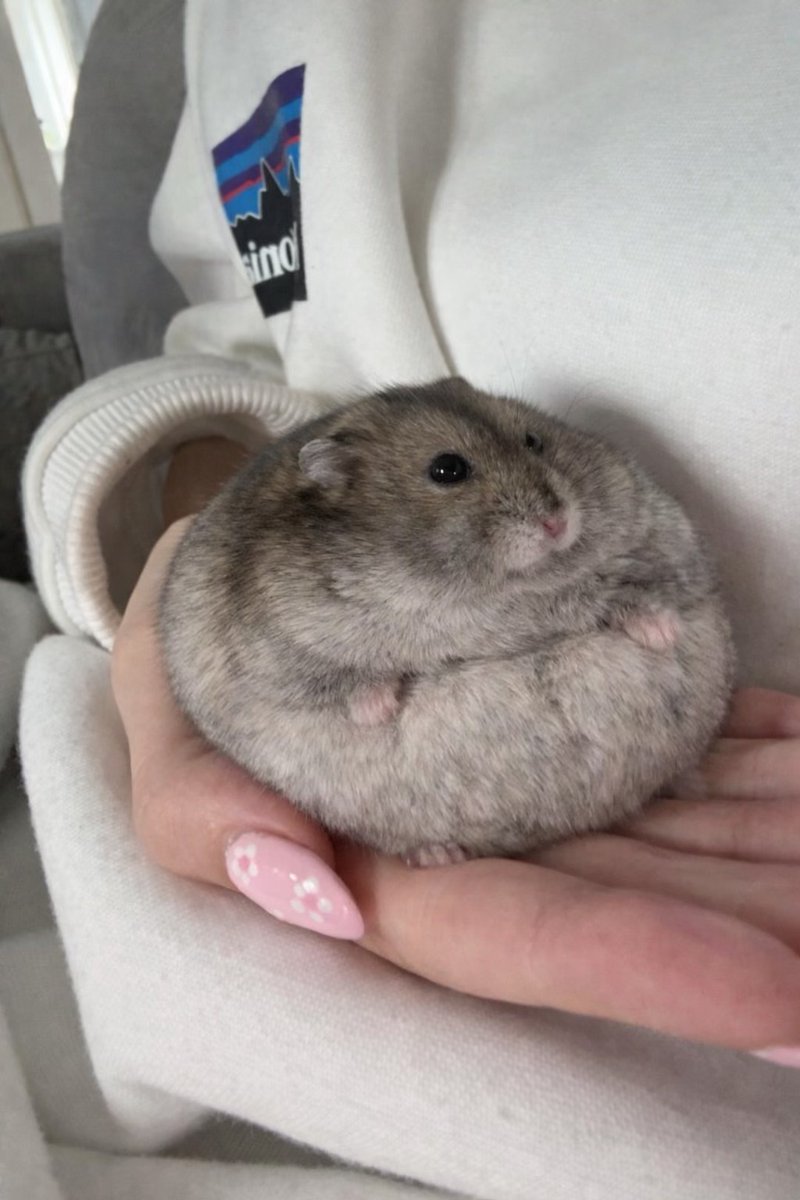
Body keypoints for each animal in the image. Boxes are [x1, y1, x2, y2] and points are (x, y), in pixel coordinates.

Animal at [159, 377, 735, 863]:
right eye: (447, 469)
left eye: (534, 441)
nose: (557, 521)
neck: (494, 591)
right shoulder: (272, 645)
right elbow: (329, 678)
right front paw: (378, 710)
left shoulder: (659, 534)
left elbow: (645, 585)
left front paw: (660, 632)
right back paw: (438, 855)